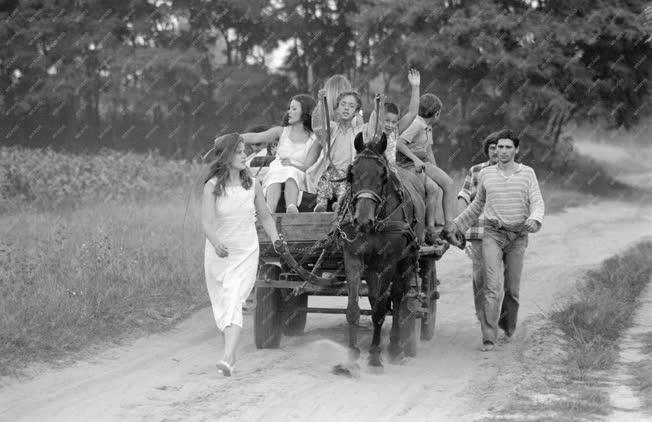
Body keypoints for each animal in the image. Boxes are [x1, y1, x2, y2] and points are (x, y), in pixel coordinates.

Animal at [334, 131, 430, 372]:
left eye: (383, 176)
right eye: (351, 174)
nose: (362, 220)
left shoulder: (388, 261)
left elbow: (380, 309)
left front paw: (375, 356)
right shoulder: (353, 257)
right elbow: (354, 308)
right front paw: (351, 357)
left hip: (407, 260)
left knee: (397, 299)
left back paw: (395, 348)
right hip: (372, 267)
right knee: (377, 297)